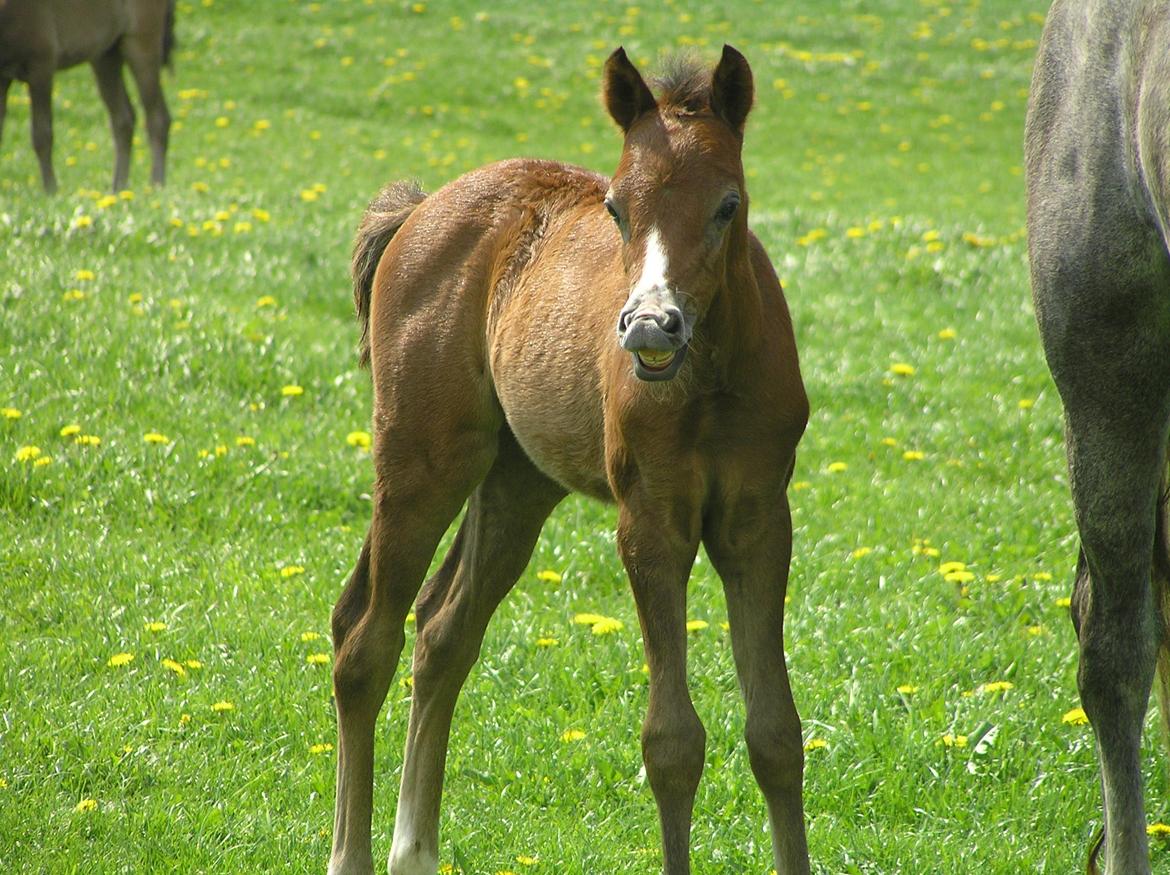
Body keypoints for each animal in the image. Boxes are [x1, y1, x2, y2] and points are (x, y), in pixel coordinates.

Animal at [0, 0, 173, 191]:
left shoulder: (41, 69)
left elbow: (42, 135)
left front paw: (51, 190)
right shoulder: (3, 79)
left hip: (140, 45)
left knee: (157, 118)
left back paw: (156, 185)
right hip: (105, 56)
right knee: (123, 120)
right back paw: (118, 188)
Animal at [325, 46, 809, 875]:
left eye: (728, 205)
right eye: (616, 208)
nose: (650, 325)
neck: (710, 380)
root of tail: (419, 210)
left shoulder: (757, 520)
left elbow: (776, 732)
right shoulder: (651, 522)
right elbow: (672, 742)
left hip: (515, 481)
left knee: (442, 631)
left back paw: (415, 849)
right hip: (423, 458)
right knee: (364, 640)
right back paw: (352, 854)